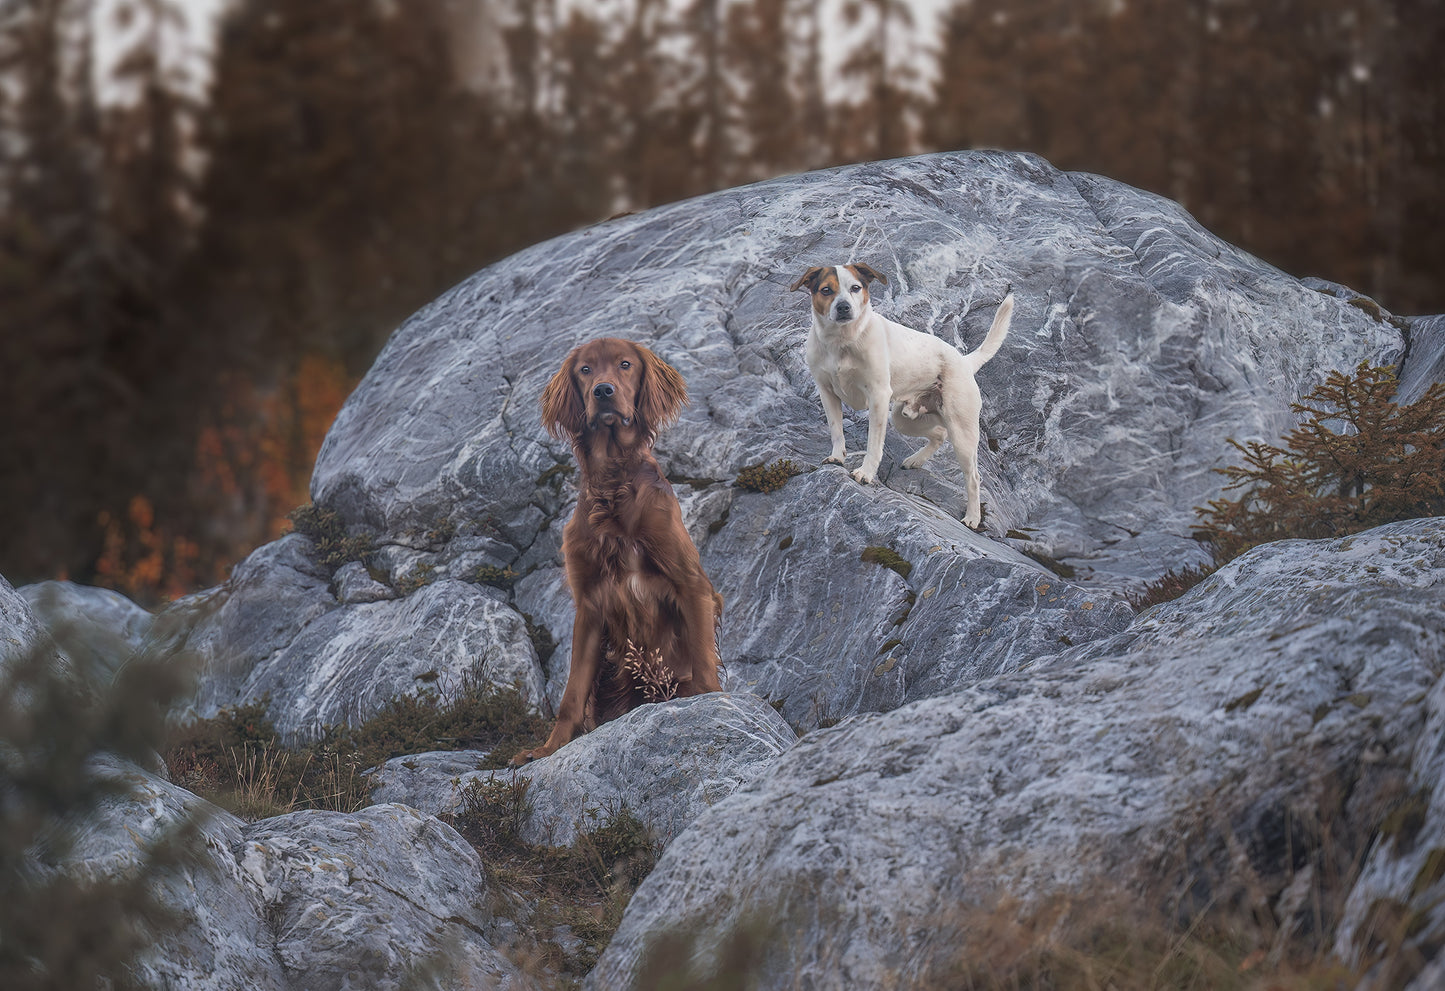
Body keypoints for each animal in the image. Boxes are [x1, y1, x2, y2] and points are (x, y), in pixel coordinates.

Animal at [514, 338, 728, 762]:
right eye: (585, 370)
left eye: (625, 365)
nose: (603, 391)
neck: (613, 481)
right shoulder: (590, 605)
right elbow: (572, 692)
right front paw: (547, 749)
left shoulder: (691, 584)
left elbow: (701, 656)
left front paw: (709, 698)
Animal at [791, 261, 1017, 528]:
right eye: (826, 290)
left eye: (856, 288)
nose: (844, 307)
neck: (843, 341)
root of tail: (964, 361)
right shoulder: (827, 393)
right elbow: (836, 431)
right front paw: (837, 457)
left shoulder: (878, 397)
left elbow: (873, 444)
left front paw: (866, 473)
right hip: (903, 418)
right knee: (938, 435)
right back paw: (915, 460)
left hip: (961, 432)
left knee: (973, 477)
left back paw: (972, 516)